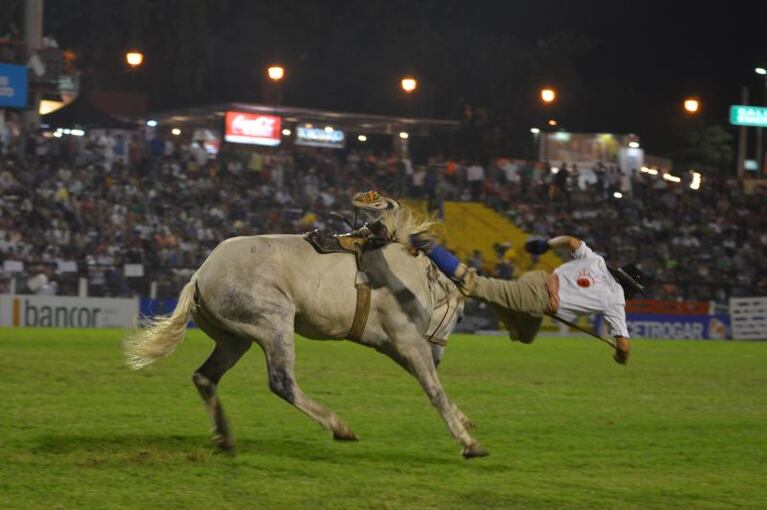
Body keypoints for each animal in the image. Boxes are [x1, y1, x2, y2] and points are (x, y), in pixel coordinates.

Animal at [124, 207, 488, 458]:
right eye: (459, 315)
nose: (439, 355)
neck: (407, 274)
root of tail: (200, 275)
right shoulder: (409, 341)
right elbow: (434, 390)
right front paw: (469, 443)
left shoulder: (395, 346)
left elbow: (433, 384)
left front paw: (465, 421)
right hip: (274, 324)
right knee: (281, 382)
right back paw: (339, 427)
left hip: (235, 340)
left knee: (205, 377)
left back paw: (225, 437)